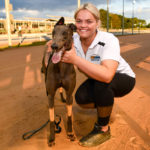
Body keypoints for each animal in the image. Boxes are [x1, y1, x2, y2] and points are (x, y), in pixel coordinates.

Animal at [42, 17, 77, 146]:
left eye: (65, 33)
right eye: (53, 33)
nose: (54, 46)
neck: (61, 65)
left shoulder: (70, 94)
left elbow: (69, 116)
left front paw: (70, 133)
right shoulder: (51, 95)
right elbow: (52, 120)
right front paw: (52, 138)